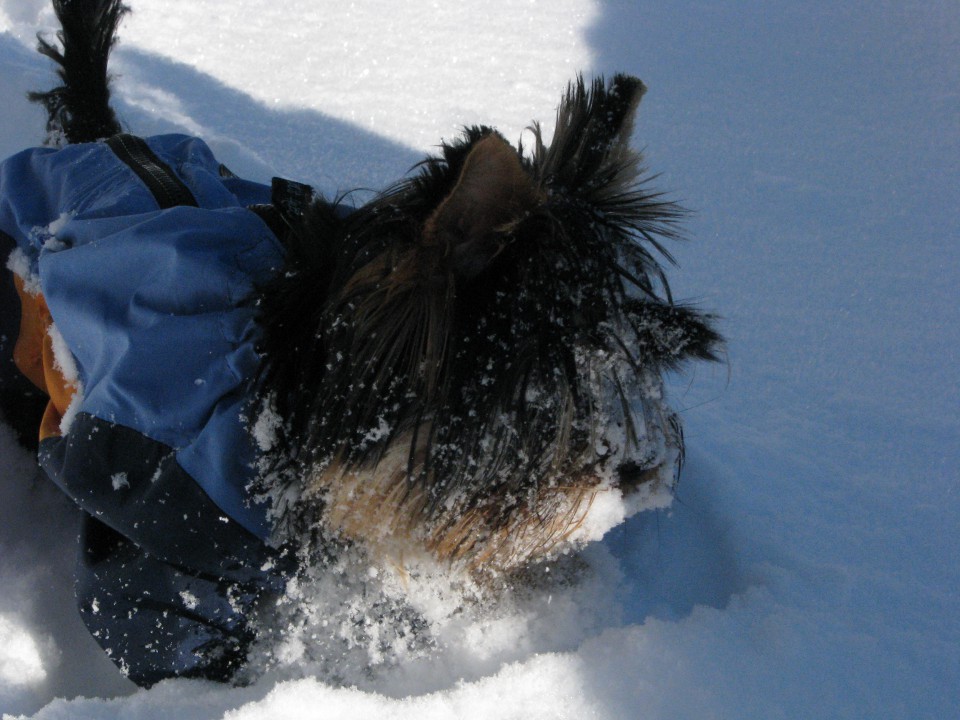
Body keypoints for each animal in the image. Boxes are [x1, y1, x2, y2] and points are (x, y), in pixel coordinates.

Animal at [0, 0, 720, 688]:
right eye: (539, 397)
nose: (641, 474)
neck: (283, 395)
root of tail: (103, 140)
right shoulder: (171, 533)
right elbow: (161, 629)